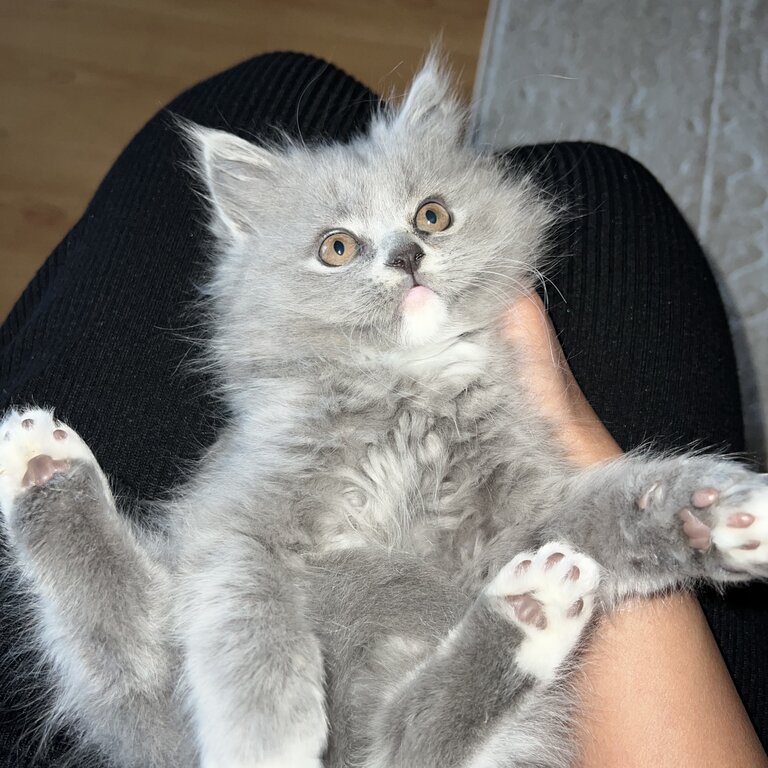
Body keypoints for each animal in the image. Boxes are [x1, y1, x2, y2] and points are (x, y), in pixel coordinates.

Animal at [1, 55, 768, 768]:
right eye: (337, 248)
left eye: (432, 215)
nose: (407, 255)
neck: (408, 393)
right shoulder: (232, 520)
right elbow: (250, 616)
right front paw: (269, 738)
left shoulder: (526, 516)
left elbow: (616, 507)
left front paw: (715, 515)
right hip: (163, 647)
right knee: (129, 654)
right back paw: (42, 464)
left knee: (405, 740)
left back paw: (532, 609)